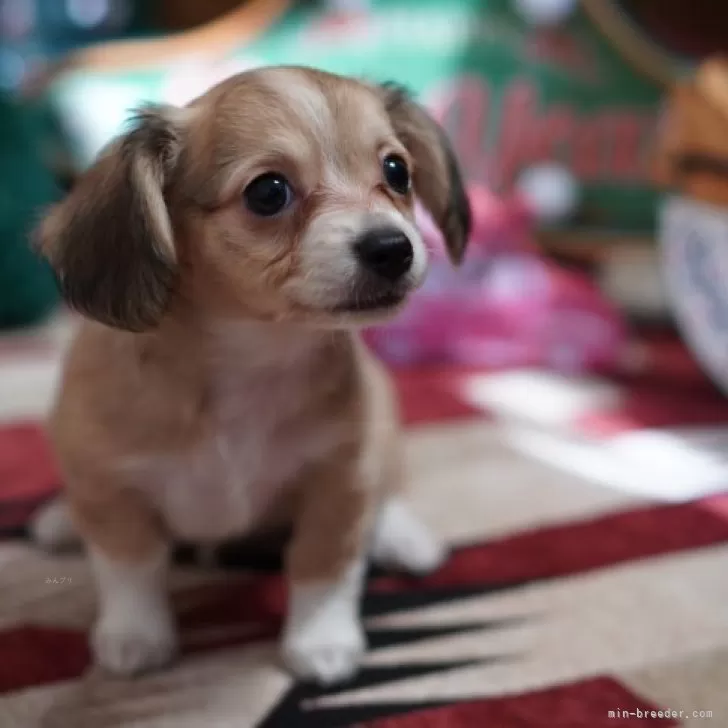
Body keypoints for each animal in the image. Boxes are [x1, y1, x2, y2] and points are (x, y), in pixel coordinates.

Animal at [34, 65, 472, 684]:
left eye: (397, 171)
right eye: (268, 192)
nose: (393, 248)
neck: (253, 358)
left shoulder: (339, 480)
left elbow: (323, 565)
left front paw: (320, 642)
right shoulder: (112, 487)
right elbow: (130, 565)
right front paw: (135, 636)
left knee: (390, 484)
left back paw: (403, 536)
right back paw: (60, 520)